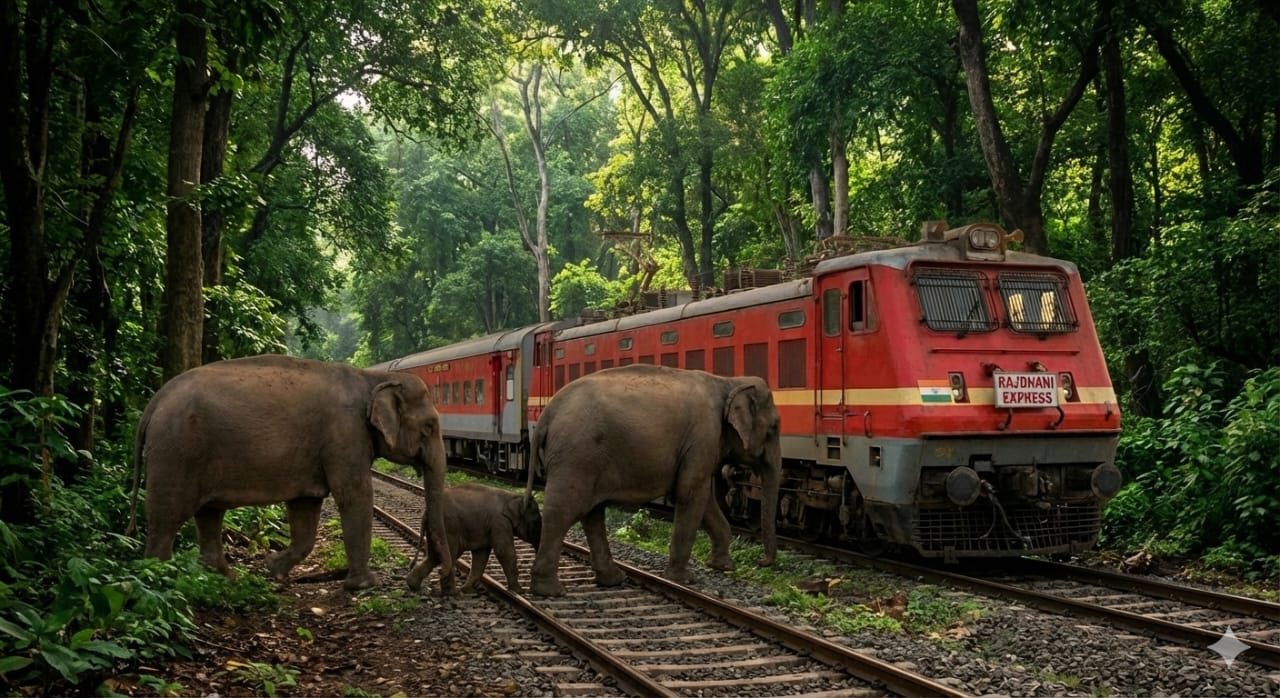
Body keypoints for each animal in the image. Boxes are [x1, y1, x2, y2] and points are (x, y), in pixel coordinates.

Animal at [128, 354, 451, 591]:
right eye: (428, 428)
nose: (420, 581)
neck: (372, 378)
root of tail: (155, 402)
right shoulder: (345, 435)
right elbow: (354, 495)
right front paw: (365, 585)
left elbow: (305, 508)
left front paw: (272, 569)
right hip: (176, 453)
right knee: (167, 518)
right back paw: (158, 580)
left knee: (208, 515)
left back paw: (225, 579)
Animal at [406, 482, 542, 595]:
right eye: (536, 523)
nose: (528, 589)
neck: (514, 497)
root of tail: (426, 512)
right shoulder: (500, 522)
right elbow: (504, 552)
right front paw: (519, 592)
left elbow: (481, 555)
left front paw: (468, 590)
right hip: (449, 527)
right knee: (448, 555)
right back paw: (451, 593)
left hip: (435, 530)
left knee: (435, 556)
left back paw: (413, 585)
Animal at [524, 364, 781, 597]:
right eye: (773, 428)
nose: (761, 562)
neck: (728, 381)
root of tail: (548, 413)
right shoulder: (703, 435)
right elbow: (690, 493)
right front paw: (683, 579)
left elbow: (704, 497)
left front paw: (723, 566)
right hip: (576, 456)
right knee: (563, 512)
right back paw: (550, 590)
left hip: (586, 459)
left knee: (592, 513)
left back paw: (613, 579)